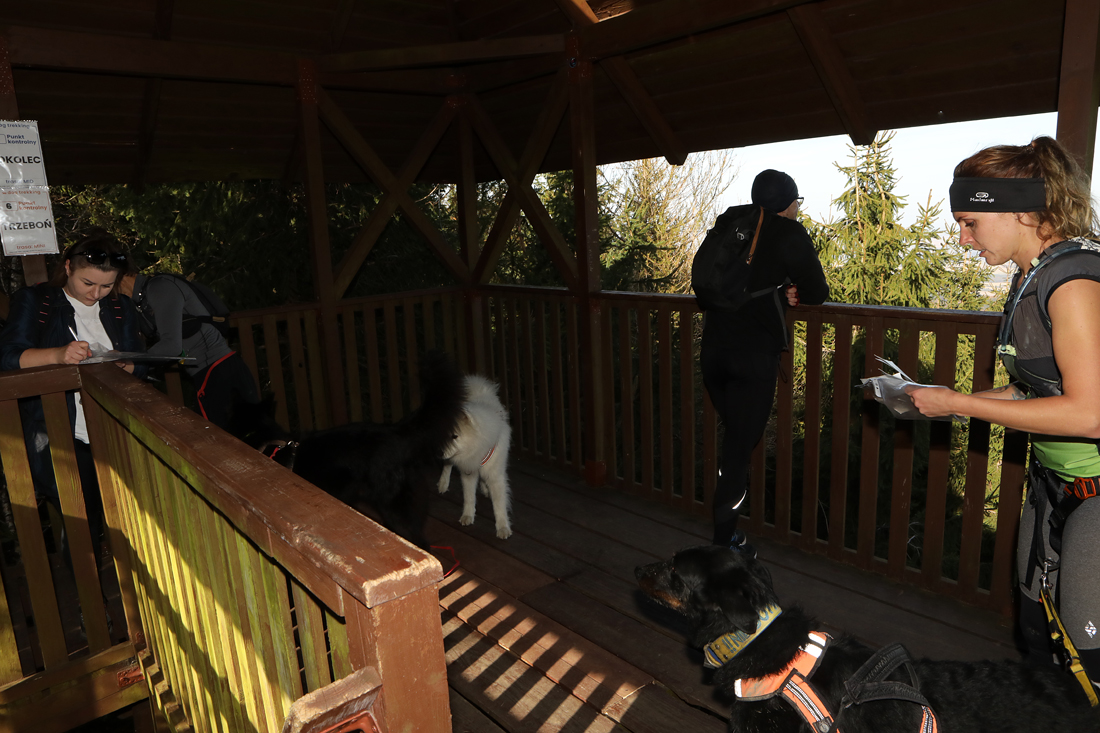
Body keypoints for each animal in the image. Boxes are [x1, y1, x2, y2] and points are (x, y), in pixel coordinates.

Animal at [437, 374, 512, 539]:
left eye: (455, 436)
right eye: (446, 435)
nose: (438, 452)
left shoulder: (495, 476)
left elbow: (499, 504)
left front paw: (503, 527)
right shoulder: (468, 473)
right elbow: (469, 497)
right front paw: (468, 516)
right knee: (447, 466)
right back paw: (443, 484)